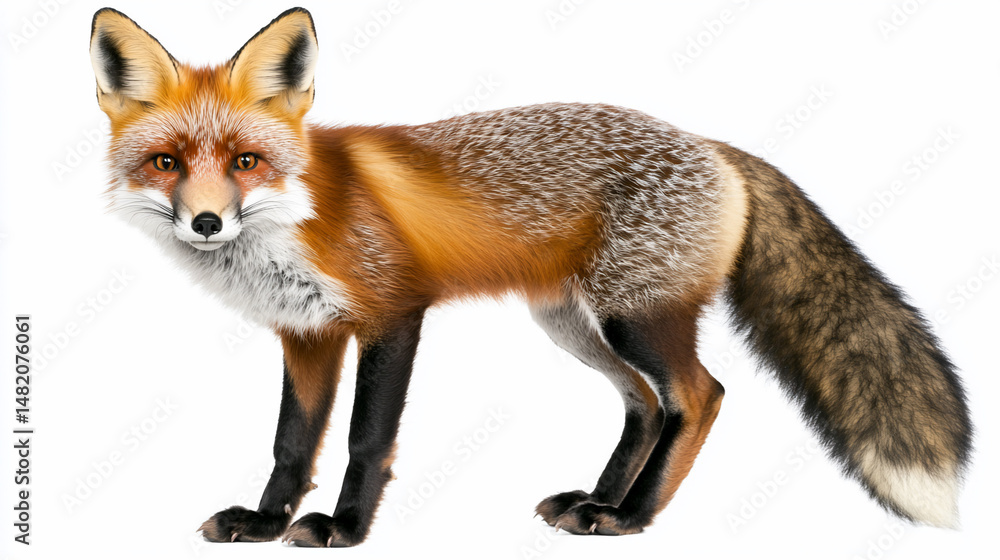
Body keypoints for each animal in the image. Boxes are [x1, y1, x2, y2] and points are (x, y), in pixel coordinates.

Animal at [89, 6, 971, 547]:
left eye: (246, 161)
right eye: (167, 163)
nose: (207, 223)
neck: (294, 217)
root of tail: (714, 146)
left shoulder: (392, 314)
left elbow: (365, 440)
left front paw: (344, 531)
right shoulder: (306, 335)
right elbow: (290, 443)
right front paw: (266, 524)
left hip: (634, 318)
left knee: (700, 396)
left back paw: (632, 518)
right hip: (573, 325)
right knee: (645, 406)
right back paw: (598, 501)